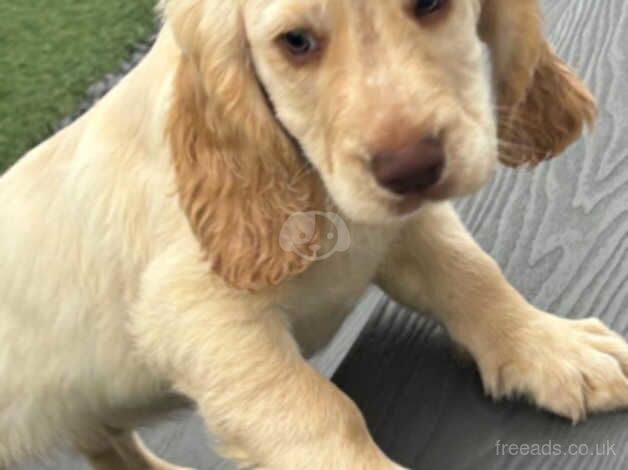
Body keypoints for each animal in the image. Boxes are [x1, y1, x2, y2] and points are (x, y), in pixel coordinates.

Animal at [0, 0, 624, 470]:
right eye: (296, 42)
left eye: (429, 3)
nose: (411, 168)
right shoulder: (194, 314)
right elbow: (316, 411)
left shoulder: (400, 227)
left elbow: (471, 273)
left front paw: (553, 347)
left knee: (106, 443)